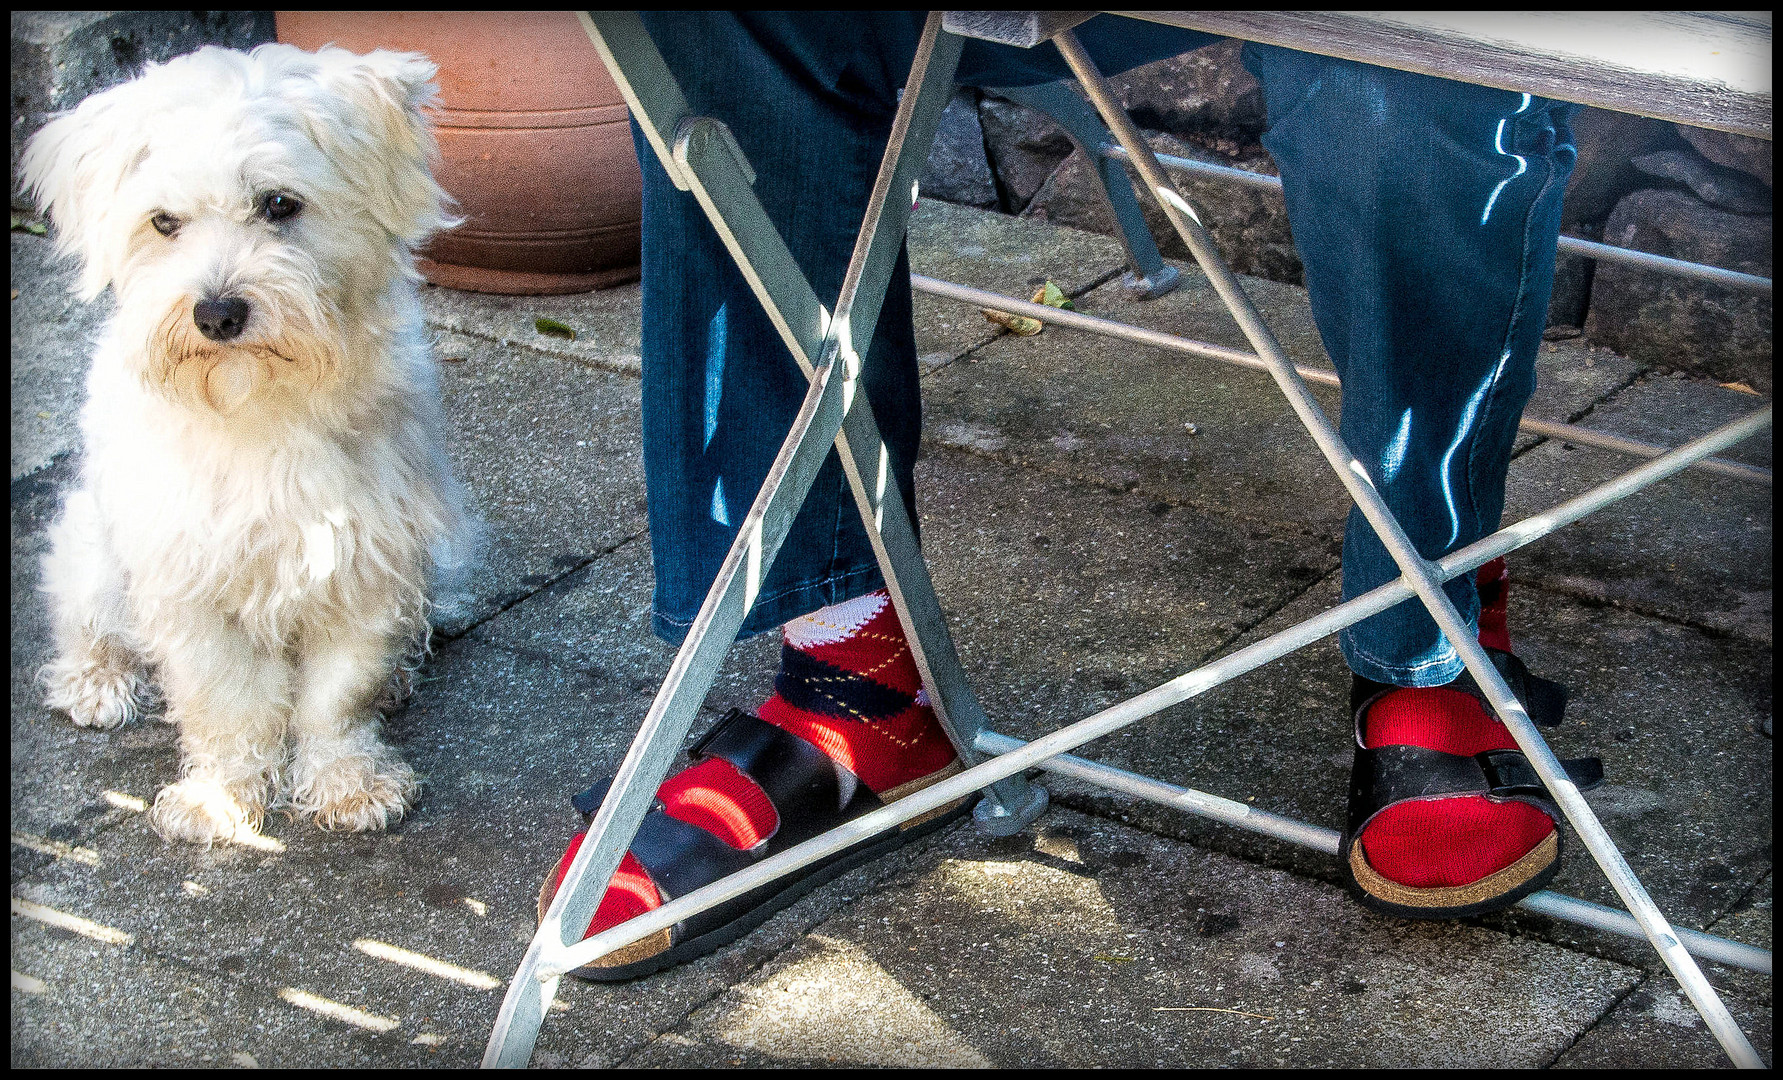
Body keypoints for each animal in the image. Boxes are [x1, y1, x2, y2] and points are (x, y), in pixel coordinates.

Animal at [22, 44, 474, 848]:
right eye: (163, 222)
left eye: (279, 205)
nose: (217, 312)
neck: (255, 405)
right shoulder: (192, 582)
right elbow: (225, 702)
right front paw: (222, 798)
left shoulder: (365, 562)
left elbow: (336, 696)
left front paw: (346, 781)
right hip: (91, 551)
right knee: (89, 624)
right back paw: (95, 681)